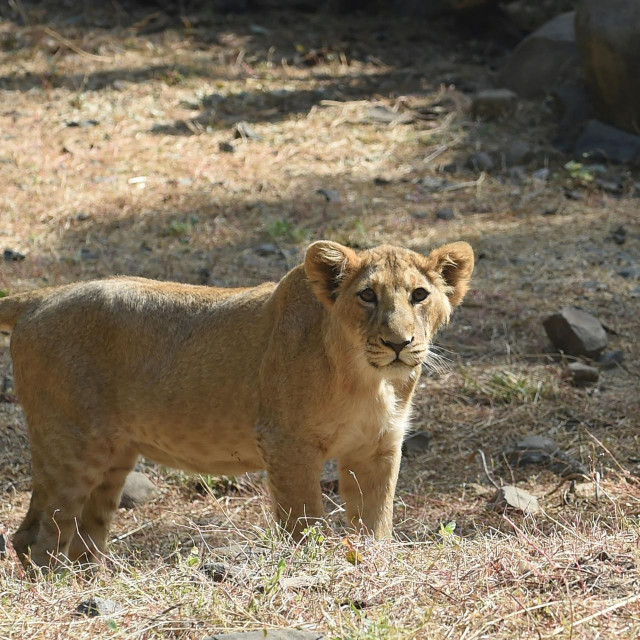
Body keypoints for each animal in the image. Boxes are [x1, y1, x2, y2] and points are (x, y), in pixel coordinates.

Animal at [0, 240, 473, 568]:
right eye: (367, 296)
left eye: (419, 295)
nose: (398, 343)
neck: (368, 380)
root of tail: (41, 297)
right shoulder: (286, 444)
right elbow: (303, 521)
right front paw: (310, 563)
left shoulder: (376, 448)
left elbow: (375, 522)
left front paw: (373, 560)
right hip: (72, 442)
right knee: (35, 536)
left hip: (114, 455)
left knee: (82, 536)